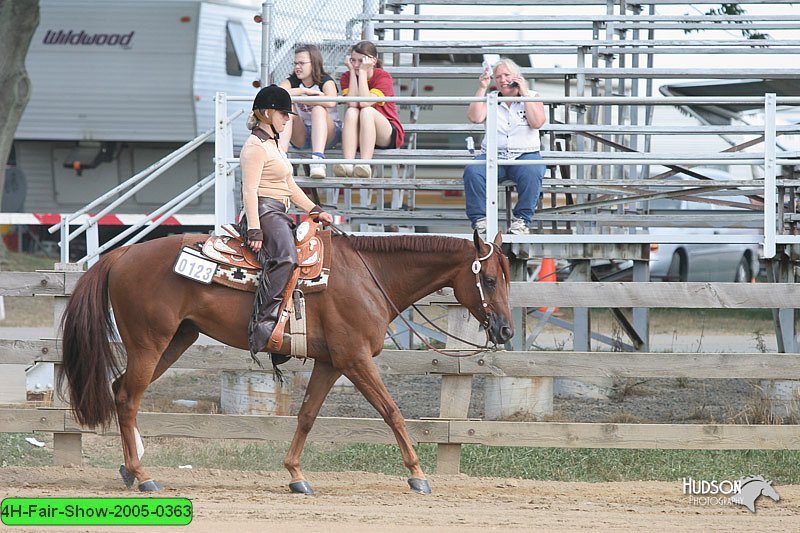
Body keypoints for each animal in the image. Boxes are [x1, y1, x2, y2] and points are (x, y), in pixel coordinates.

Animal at [59, 231, 516, 492]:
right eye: (491, 280)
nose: (507, 330)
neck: (369, 276)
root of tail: (122, 255)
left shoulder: (332, 362)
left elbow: (307, 415)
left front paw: (296, 475)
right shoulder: (355, 358)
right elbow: (392, 411)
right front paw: (418, 475)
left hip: (176, 340)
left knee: (121, 390)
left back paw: (128, 468)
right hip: (150, 341)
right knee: (128, 398)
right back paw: (142, 475)